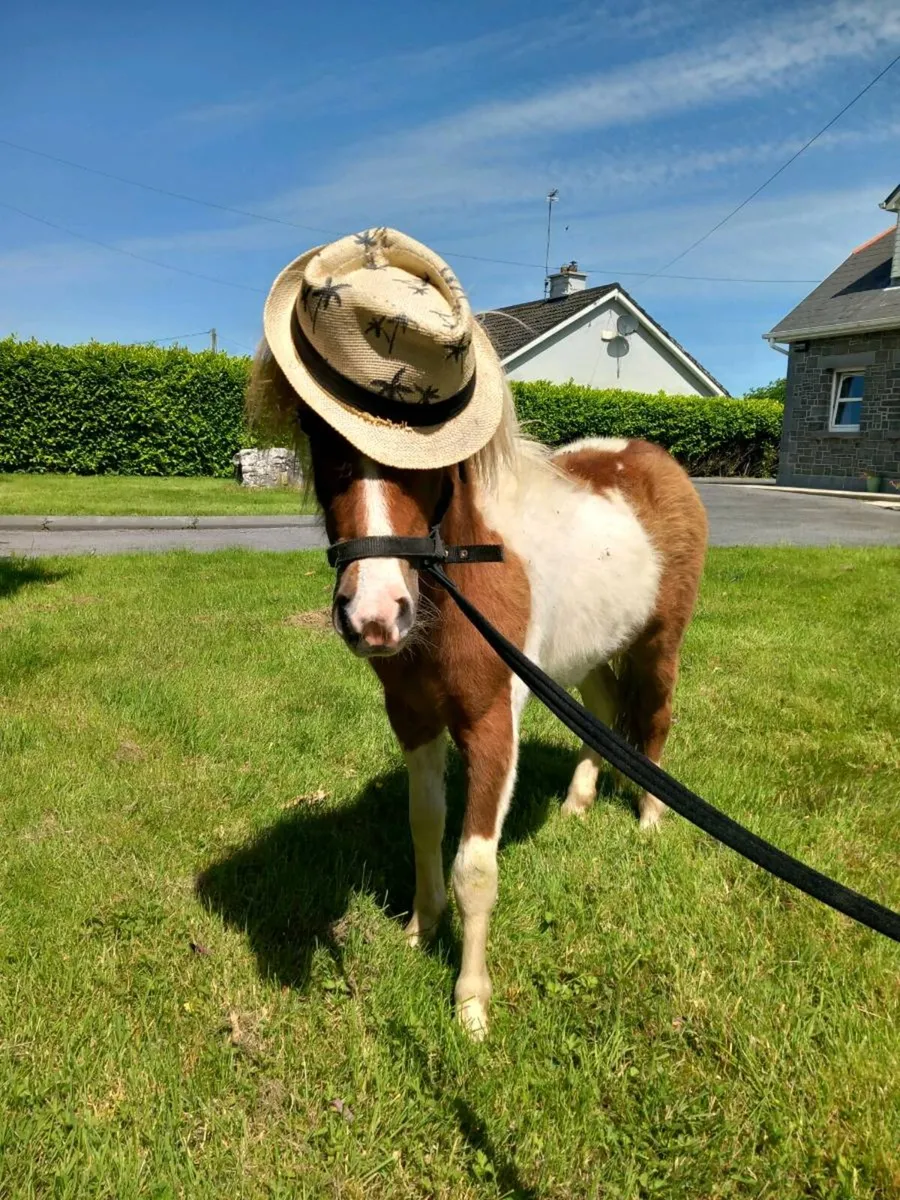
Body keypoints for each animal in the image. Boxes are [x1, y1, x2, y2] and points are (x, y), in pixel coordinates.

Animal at [249, 351, 708, 1038]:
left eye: (428, 470)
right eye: (324, 446)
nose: (375, 616)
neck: (461, 576)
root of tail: (654, 459)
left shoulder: (492, 727)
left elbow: (475, 867)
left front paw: (470, 1006)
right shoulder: (412, 719)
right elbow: (424, 825)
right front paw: (420, 928)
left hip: (659, 643)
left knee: (654, 716)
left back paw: (651, 817)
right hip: (585, 651)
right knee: (602, 711)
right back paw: (577, 803)